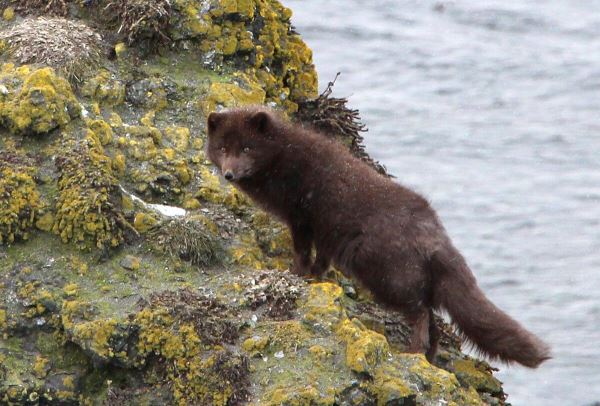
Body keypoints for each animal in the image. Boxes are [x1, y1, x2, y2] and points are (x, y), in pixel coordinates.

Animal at [207, 106, 552, 366]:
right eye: (223, 148)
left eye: (247, 147)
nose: (229, 174)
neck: (285, 158)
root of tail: (435, 234)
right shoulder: (327, 231)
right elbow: (323, 258)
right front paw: (317, 277)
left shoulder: (302, 216)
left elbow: (303, 252)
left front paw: (296, 274)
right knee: (432, 319)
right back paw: (428, 356)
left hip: (387, 274)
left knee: (421, 313)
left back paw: (413, 351)